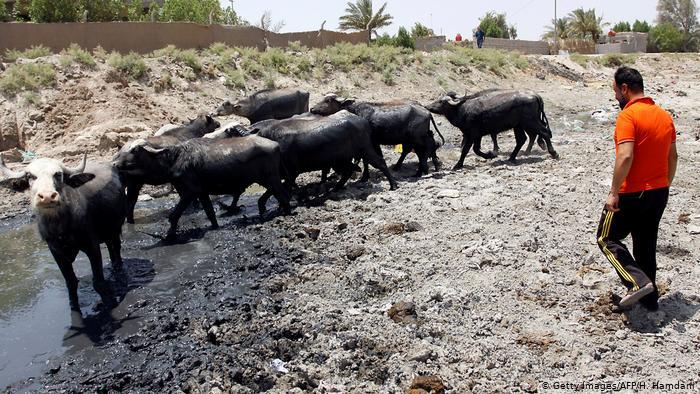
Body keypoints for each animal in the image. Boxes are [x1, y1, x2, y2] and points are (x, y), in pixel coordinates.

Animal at [0, 154, 126, 310]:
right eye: (30, 176)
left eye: (58, 174)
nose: (47, 197)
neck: (61, 227)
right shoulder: (56, 252)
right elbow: (71, 282)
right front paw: (74, 306)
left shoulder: (92, 246)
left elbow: (98, 282)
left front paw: (108, 303)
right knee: (110, 246)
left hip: (117, 226)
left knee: (116, 247)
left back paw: (118, 267)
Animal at [113, 137, 292, 239]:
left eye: (135, 150)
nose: (114, 164)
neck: (175, 159)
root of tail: (276, 144)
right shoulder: (201, 193)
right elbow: (210, 213)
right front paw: (214, 226)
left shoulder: (189, 193)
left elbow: (174, 215)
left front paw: (170, 235)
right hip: (269, 179)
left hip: (271, 178)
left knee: (283, 195)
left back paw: (285, 213)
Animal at [310, 94, 446, 176]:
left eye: (328, 100)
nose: (312, 109)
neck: (357, 112)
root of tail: (426, 111)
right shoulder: (373, 142)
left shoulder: (368, 143)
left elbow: (366, 159)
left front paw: (365, 176)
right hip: (416, 138)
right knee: (424, 148)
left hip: (418, 138)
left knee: (429, 146)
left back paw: (422, 170)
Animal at [424, 89, 560, 169]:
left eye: (441, 102)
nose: (427, 106)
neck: (462, 109)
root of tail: (536, 96)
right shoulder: (475, 136)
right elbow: (475, 149)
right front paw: (490, 155)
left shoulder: (472, 135)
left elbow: (467, 150)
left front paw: (458, 165)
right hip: (518, 126)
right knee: (522, 139)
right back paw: (511, 158)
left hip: (530, 122)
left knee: (545, 133)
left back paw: (554, 153)